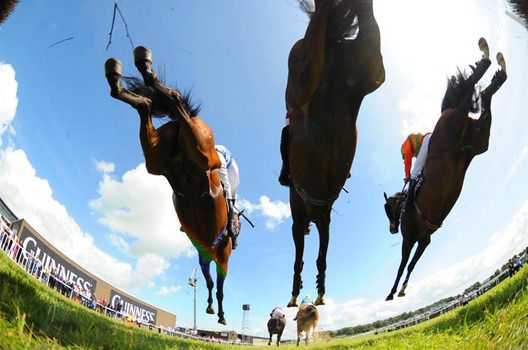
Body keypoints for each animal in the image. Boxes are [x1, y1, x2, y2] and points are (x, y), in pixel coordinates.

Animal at [103, 46, 241, 326]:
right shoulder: (222, 258)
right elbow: (218, 285)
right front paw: (219, 313)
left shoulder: (205, 254)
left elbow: (209, 282)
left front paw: (211, 307)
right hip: (202, 150)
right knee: (174, 100)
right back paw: (144, 70)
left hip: (156, 160)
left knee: (146, 104)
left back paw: (124, 74)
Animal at [284, 0, 384, 306]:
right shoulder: (323, 221)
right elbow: (320, 256)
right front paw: (316, 289)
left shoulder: (301, 220)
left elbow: (302, 257)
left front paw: (299, 293)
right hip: (370, 68)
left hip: (300, 72)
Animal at [384, 38, 508, 300]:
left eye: (388, 210)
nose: (391, 230)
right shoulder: (425, 240)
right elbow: (412, 265)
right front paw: (403, 289)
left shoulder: (410, 239)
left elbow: (403, 264)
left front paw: (393, 291)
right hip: (478, 141)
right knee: (484, 95)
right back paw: (497, 71)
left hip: (451, 124)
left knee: (469, 91)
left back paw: (486, 57)